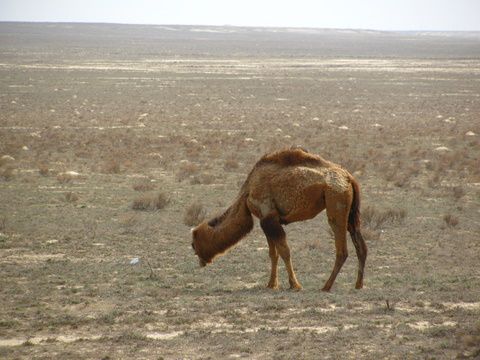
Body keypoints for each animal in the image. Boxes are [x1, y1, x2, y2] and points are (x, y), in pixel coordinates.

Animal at [189, 148, 366, 292]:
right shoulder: (266, 220)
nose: (198, 258)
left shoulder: (269, 217)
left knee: (342, 249)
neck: (247, 193)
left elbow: (284, 252)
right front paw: (271, 284)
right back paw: (358, 285)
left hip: (335, 199)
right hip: (350, 212)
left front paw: (295, 285)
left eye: (194, 242)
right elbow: (273, 254)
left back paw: (326, 287)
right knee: (360, 245)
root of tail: (349, 177)